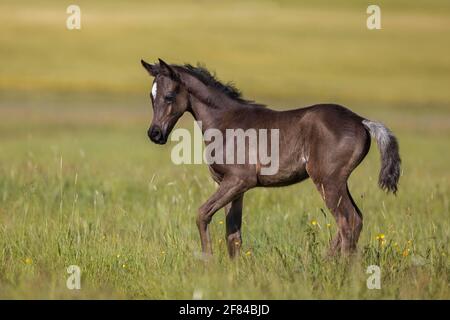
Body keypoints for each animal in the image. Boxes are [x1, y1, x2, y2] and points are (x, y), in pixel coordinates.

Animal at [141, 58, 400, 258]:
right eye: (151, 97)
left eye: (169, 95)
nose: (155, 134)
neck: (225, 122)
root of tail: (362, 121)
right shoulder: (232, 186)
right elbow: (233, 233)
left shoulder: (239, 180)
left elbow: (202, 214)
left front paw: (208, 264)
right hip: (338, 182)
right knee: (355, 220)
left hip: (328, 181)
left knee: (349, 222)